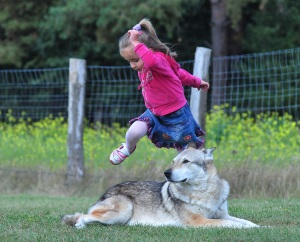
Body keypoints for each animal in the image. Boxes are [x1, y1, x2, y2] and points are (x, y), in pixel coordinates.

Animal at [61, 144, 258, 229]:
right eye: (174, 161)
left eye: (186, 161)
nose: (166, 173)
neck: (203, 191)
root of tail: (105, 193)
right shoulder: (199, 221)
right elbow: (231, 224)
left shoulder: (222, 214)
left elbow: (245, 221)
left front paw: (260, 227)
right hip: (123, 210)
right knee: (82, 216)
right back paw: (79, 224)